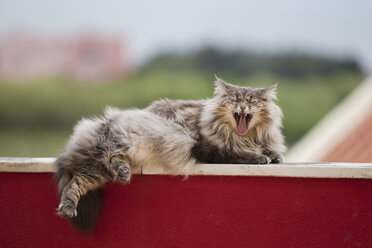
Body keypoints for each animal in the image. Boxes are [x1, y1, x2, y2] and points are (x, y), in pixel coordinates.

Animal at [55, 76, 286, 232]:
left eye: (252, 101)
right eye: (235, 99)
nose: (243, 106)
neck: (245, 137)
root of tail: (104, 123)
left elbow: (274, 153)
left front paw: (274, 156)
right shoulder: (208, 150)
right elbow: (238, 154)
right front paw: (260, 157)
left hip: (104, 165)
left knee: (88, 176)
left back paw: (122, 175)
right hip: (110, 152)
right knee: (77, 182)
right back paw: (69, 207)